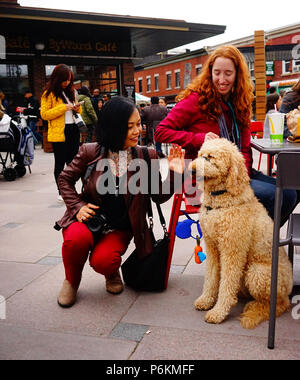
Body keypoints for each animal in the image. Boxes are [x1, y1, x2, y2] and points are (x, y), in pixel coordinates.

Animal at [189, 138, 292, 328]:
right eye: (200, 155)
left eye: (210, 157)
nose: (191, 169)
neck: (220, 198)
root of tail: (289, 288)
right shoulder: (213, 248)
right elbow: (211, 277)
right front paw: (206, 300)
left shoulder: (232, 250)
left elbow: (227, 284)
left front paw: (218, 312)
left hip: (257, 273)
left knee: (280, 304)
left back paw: (255, 309)